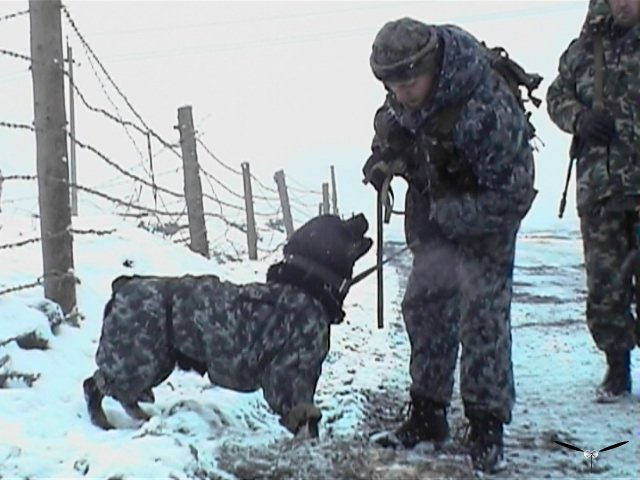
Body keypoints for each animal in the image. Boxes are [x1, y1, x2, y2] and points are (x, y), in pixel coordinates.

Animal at [85, 214, 376, 436]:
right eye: (340, 223)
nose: (362, 216)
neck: (306, 285)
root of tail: (123, 286)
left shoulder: (305, 376)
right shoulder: (287, 373)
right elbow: (300, 411)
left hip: (157, 362)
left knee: (121, 391)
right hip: (137, 358)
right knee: (97, 384)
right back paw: (103, 420)